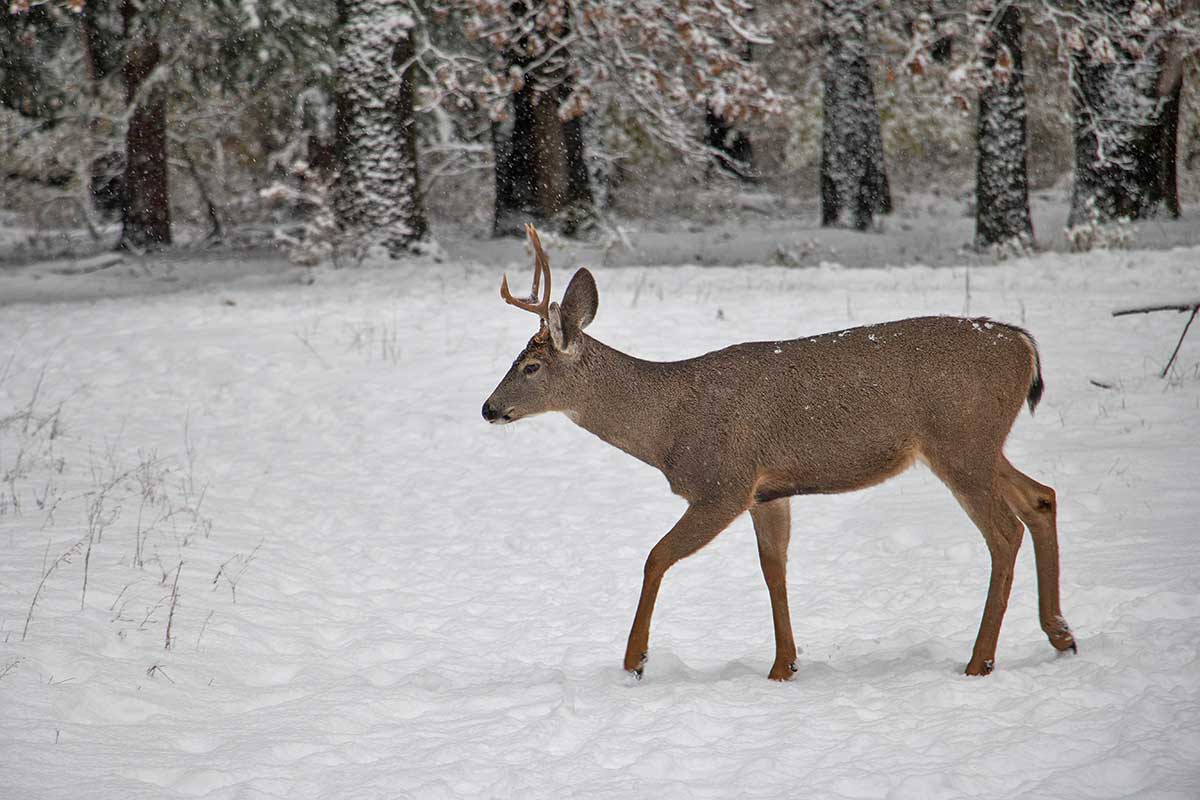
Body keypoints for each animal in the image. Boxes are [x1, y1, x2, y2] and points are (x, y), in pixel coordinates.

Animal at [482, 225, 1075, 681]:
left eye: (531, 366)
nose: (489, 408)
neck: (667, 429)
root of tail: (1024, 344)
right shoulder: (767, 491)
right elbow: (774, 569)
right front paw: (784, 666)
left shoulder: (722, 484)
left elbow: (656, 557)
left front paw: (634, 661)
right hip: (978, 444)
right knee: (1041, 497)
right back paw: (1061, 634)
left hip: (960, 442)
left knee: (1004, 532)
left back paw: (980, 661)